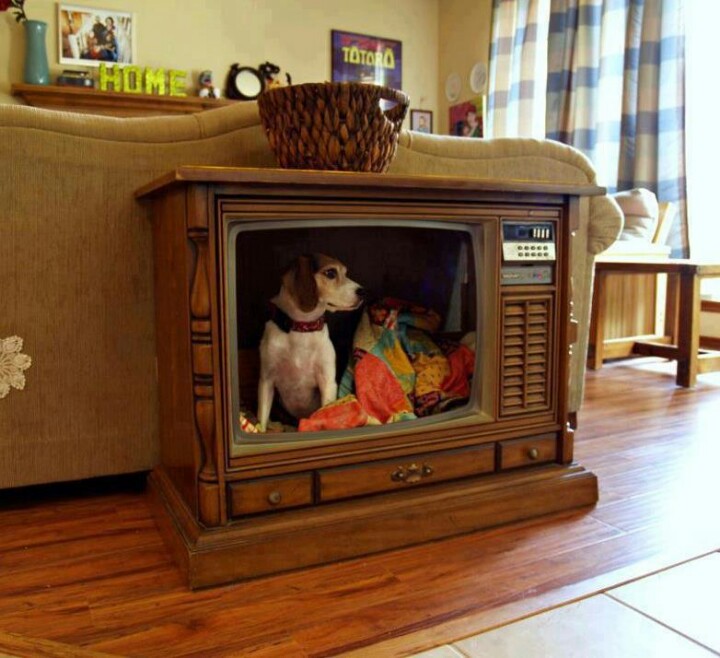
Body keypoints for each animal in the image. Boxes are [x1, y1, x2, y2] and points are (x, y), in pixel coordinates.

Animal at [256, 252, 362, 430]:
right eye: (331, 273)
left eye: (345, 273)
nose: (363, 291)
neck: (302, 327)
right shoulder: (266, 380)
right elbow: (261, 420)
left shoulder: (327, 382)